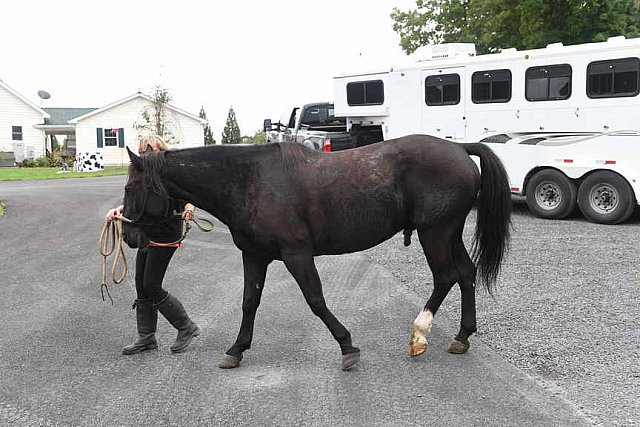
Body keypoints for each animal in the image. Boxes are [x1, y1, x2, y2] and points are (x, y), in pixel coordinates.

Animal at [121, 135, 510, 372]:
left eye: (130, 188)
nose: (128, 236)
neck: (249, 180)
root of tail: (459, 148)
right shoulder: (254, 256)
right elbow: (249, 302)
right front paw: (236, 350)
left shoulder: (297, 254)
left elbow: (316, 301)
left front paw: (348, 347)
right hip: (448, 233)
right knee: (466, 274)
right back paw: (462, 336)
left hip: (436, 233)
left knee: (446, 277)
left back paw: (418, 335)